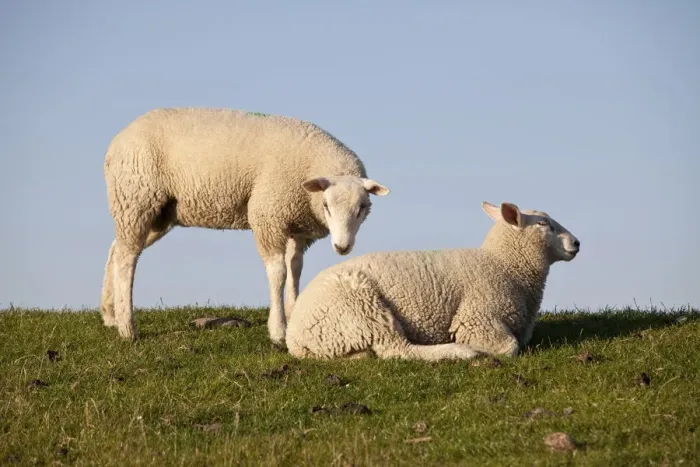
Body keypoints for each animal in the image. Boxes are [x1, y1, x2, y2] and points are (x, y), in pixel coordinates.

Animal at [100, 107, 390, 344]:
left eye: (362, 208)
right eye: (327, 206)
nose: (342, 247)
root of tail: (115, 144)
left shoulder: (297, 228)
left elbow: (295, 269)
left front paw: (294, 313)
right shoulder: (268, 215)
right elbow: (278, 273)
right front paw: (278, 330)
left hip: (158, 213)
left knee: (118, 248)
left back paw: (110, 314)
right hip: (136, 198)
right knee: (127, 259)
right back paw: (127, 328)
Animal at [285, 200, 580, 361]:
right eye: (544, 225)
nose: (576, 243)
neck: (504, 265)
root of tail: (294, 336)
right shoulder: (477, 318)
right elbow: (510, 347)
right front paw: (478, 349)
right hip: (364, 308)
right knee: (398, 350)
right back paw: (459, 352)